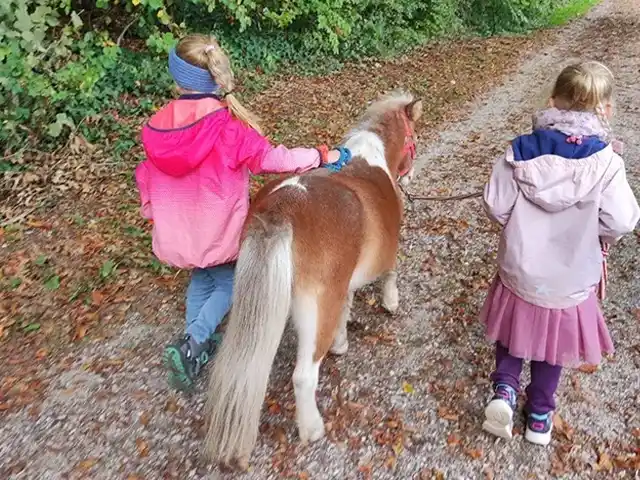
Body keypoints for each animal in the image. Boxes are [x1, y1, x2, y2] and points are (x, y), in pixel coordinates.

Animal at [208, 92, 422, 466]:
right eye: (413, 138)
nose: (412, 174)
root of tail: (283, 209)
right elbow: (390, 275)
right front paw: (391, 302)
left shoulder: (342, 287)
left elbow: (345, 309)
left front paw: (341, 343)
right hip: (313, 310)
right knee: (304, 376)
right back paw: (312, 428)